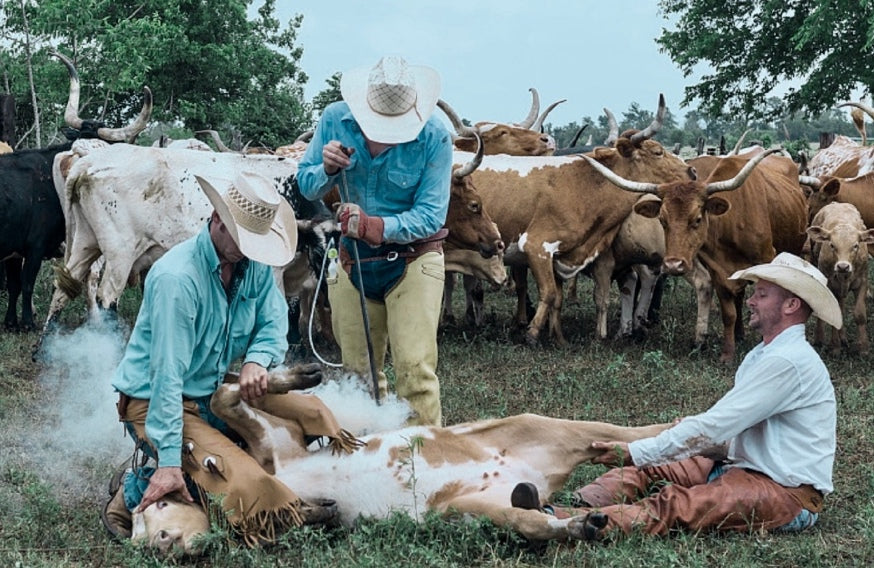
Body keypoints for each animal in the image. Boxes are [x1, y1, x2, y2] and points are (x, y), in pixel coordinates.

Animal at [127, 368, 668, 556]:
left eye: (155, 506)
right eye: (137, 524)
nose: (162, 543)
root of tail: (533, 478)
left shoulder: (277, 444)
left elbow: (223, 397)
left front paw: (300, 375)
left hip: (542, 425)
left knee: (629, 435)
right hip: (468, 509)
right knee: (533, 521)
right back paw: (582, 523)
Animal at [584, 150, 808, 364]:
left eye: (698, 219)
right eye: (662, 220)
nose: (673, 265)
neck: (732, 223)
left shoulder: (766, 263)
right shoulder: (719, 272)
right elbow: (729, 314)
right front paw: (727, 354)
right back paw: (739, 334)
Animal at [804, 203, 872, 356]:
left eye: (855, 245)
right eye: (832, 245)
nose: (842, 266)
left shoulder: (862, 282)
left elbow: (860, 315)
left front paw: (864, 348)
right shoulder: (830, 285)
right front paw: (835, 347)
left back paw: (843, 338)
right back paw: (820, 338)